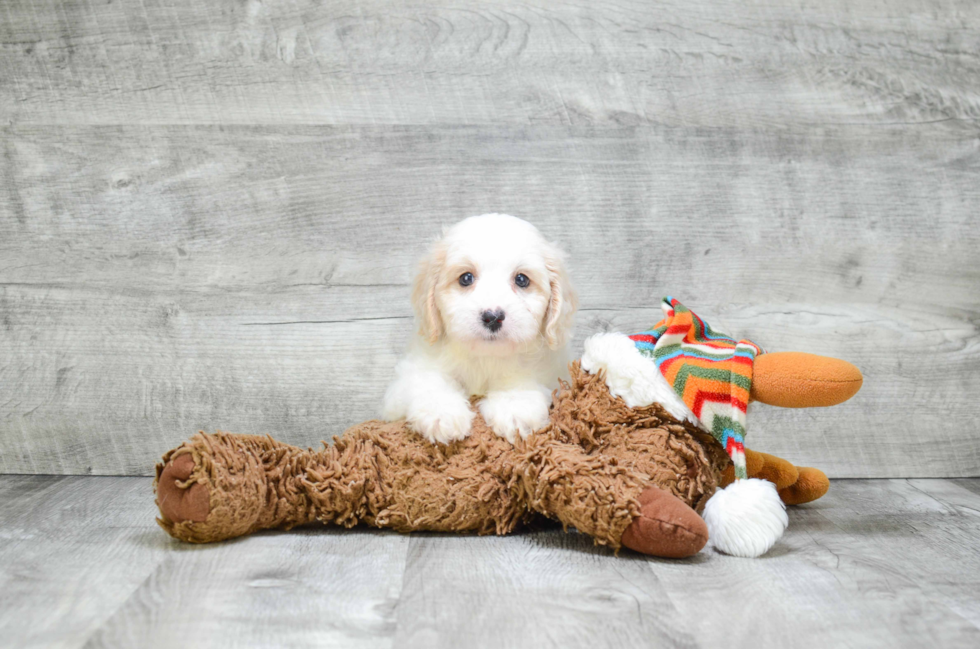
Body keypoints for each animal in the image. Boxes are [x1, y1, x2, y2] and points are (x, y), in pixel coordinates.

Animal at [382, 215, 580, 442]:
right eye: (466, 278)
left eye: (521, 279)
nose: (492, 317)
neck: (484, 358)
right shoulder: (410, 374)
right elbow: (427, 381)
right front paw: (442, 414)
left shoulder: (550, 373)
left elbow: (520, 379)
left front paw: (514, 407)